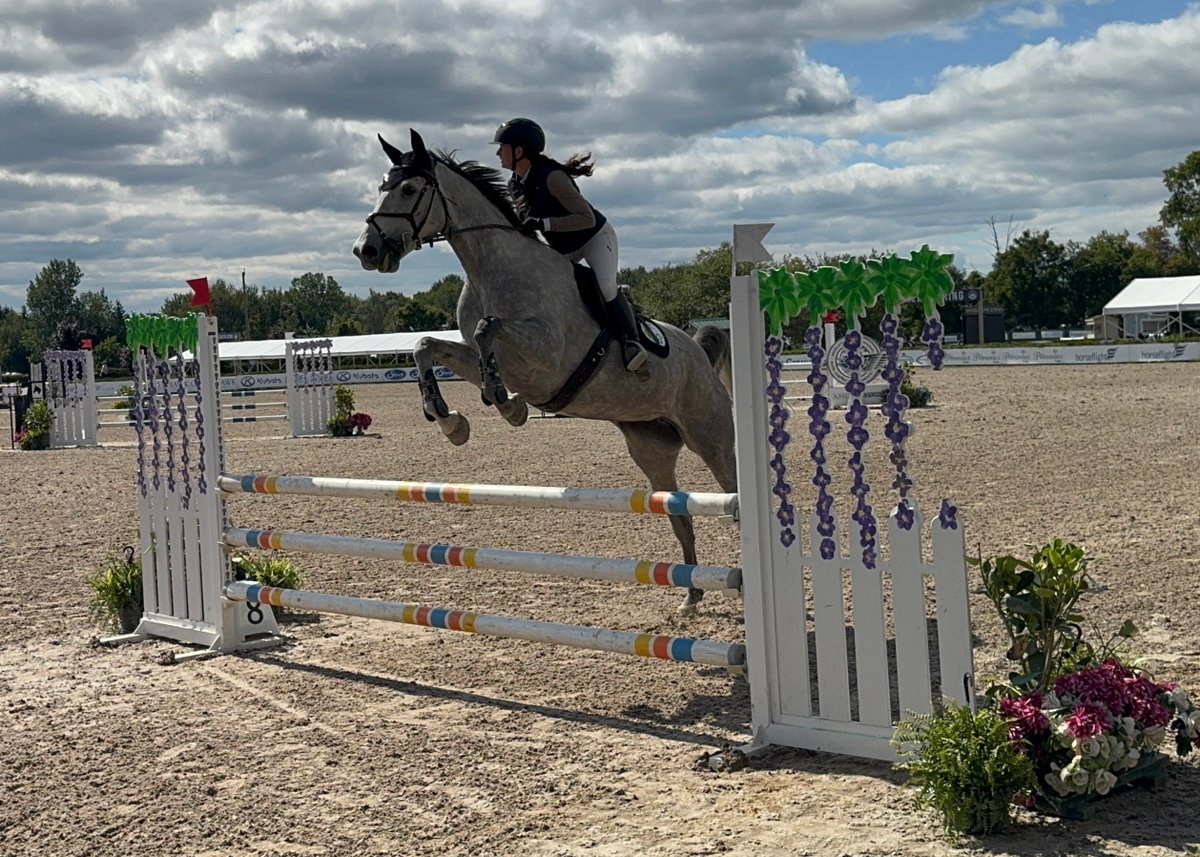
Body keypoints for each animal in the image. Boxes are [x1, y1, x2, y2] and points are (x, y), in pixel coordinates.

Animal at [352, 129, 736, 610]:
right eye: (381, 186)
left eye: (407, 189)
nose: (366, 250)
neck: (491, 269)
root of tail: (697, 353)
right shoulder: (490, 358)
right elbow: (428, 347)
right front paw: (453, 420)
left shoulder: (547, 356)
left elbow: (487, 328)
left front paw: (502, 403)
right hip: (652, 447)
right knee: (678, 512)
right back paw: (690, 594)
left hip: (710, 436)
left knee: (735, 492)